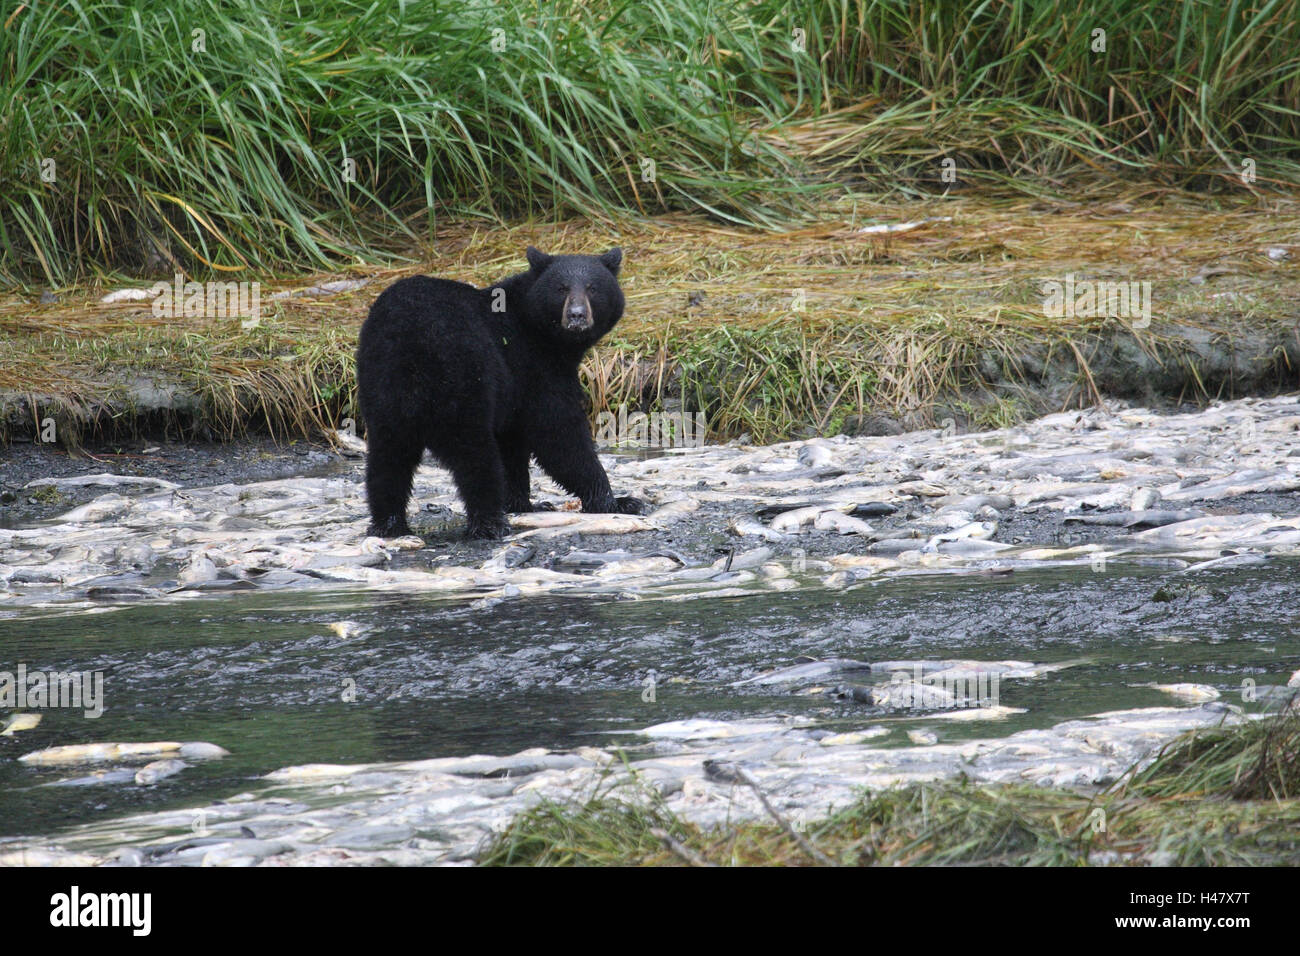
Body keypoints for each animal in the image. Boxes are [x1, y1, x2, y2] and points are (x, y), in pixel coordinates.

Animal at [356, 247, 644, 538]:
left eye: (592, 288)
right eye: (561, 288)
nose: (576, 315)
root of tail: (408, 343)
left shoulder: (512, 391)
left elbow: (512, 444)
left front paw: (525, 503)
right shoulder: (532, 368)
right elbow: (558, 432)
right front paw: (616, 501)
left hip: (380, 388)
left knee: (388, 458)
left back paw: (389, 524)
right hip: (460, 378)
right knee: (474, 454)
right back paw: (490, 523)